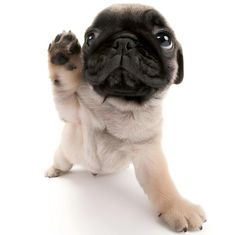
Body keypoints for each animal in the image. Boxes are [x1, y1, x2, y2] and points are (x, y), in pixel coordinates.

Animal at [45, 4, 206, 233]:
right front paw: (64, 56)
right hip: (64, 154)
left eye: (164, 39)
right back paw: (54, 170)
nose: (123, 41)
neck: (120, 106)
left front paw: (178, 207)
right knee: (61, 161)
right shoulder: (72, 113)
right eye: (90, 38)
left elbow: (163, 183)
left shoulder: (148, 152)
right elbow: (66, 87)